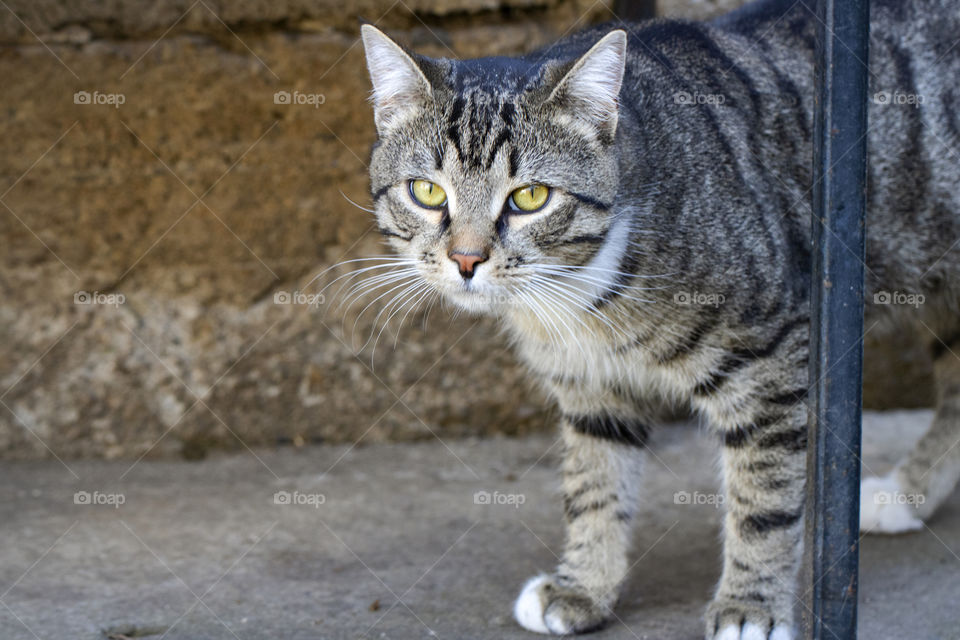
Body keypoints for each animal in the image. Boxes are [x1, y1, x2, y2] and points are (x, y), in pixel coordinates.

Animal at [356, 1, 960, 636]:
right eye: (426, 192)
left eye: (530, 198)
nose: (466, 259)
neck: (579, 297)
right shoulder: (589, 386)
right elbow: (595, 483)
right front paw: (584, 586)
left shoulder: (772, 356)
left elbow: (764, 499)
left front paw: (749, 605)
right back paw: (908, 494)